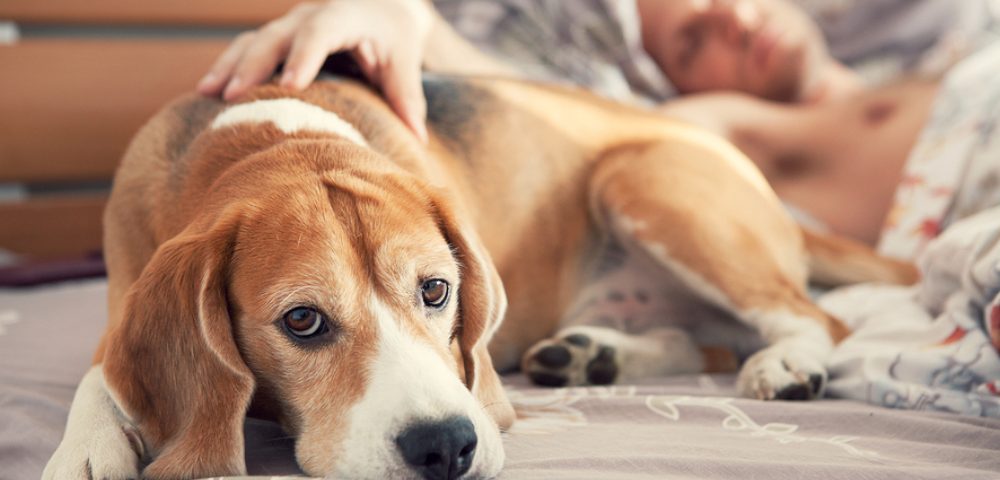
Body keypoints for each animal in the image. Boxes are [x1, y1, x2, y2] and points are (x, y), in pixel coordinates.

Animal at [43, 75, 916, 480]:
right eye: (302, 321)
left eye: (436, 290)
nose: (446, 448)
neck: (270, 133)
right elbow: (102, 373)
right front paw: (89, 446)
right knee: (702, 339)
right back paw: (592, 354)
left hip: (641, 179)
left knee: (815, 320)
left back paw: (785, 362)